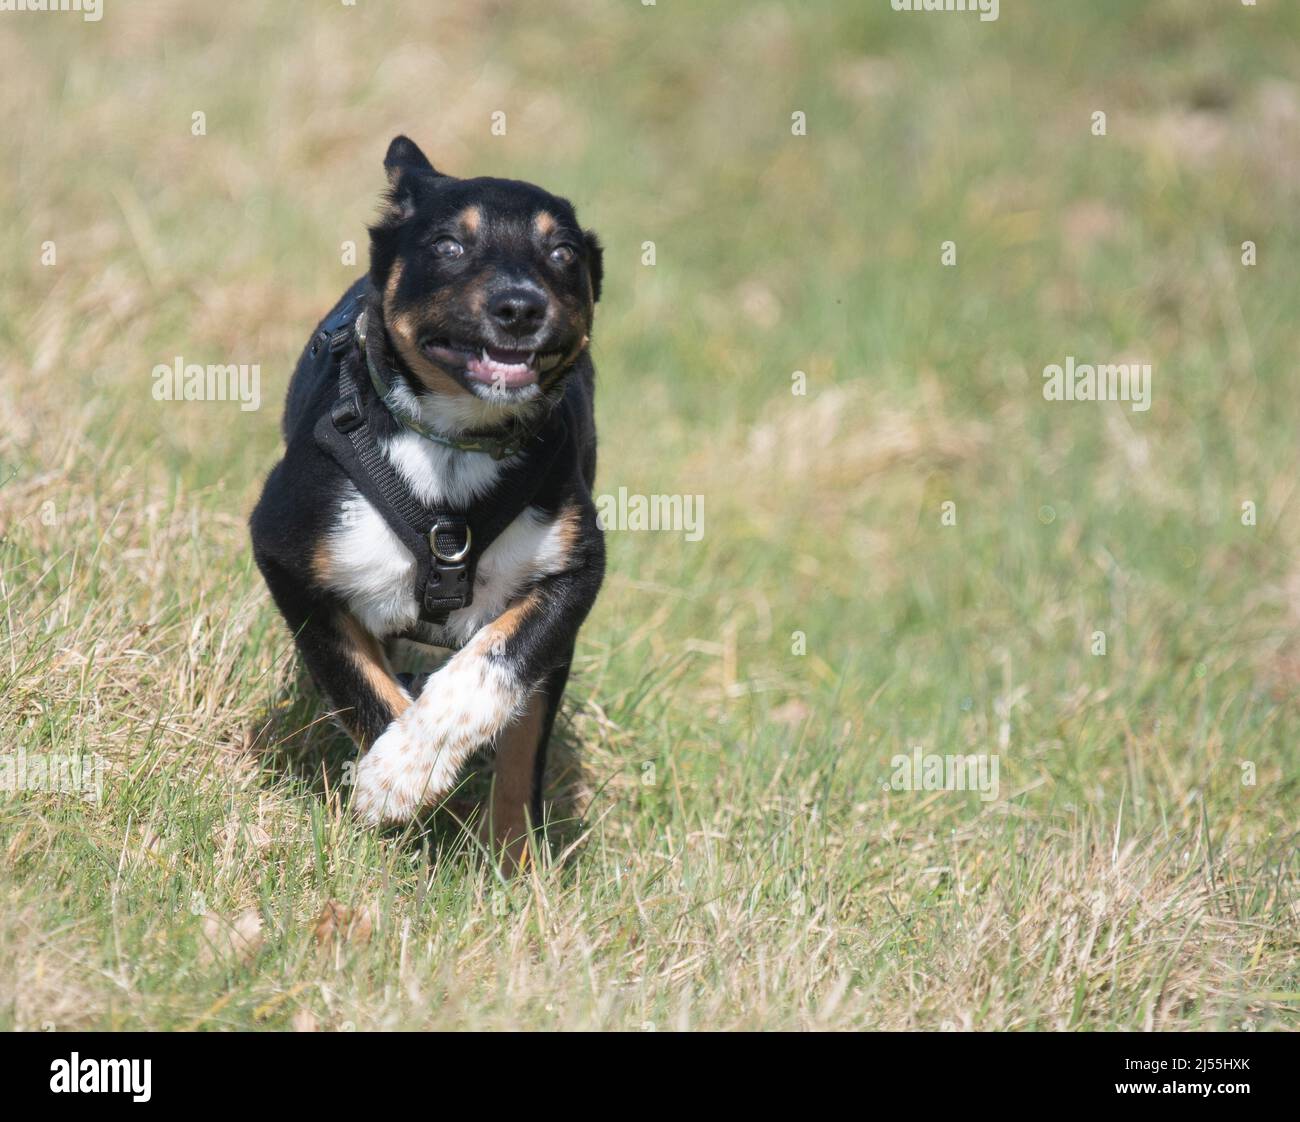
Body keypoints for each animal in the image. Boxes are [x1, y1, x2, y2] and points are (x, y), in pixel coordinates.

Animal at [253, 135, 608, 863]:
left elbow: (498, 673)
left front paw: (508, 862)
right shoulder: (286, 553)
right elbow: (361, 687)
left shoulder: (576, 567)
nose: (520, 307)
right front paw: (397, 780)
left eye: (562, 253)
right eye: (449, 244)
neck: (455, 446)